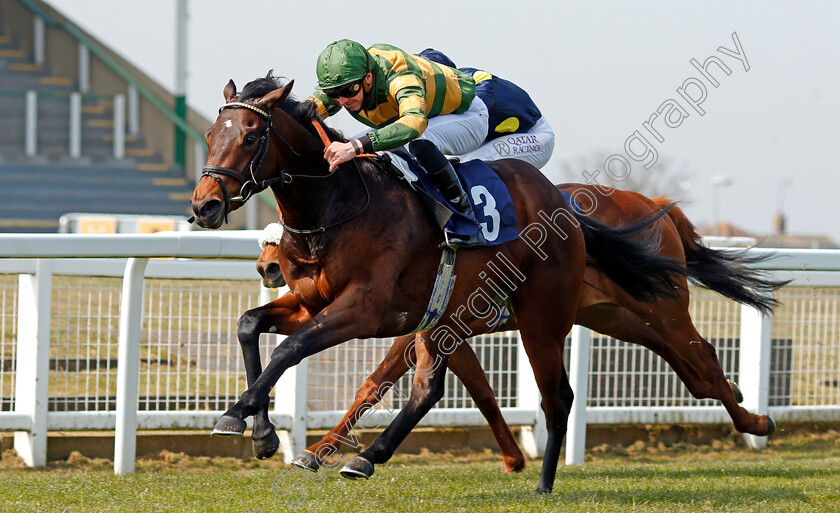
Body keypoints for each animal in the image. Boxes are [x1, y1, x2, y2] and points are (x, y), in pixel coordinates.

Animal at [189, 73, 728, 492]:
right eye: (213, 133)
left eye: (251, 137)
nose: (204, 205)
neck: (337, 206)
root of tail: (566, 209)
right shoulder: (314, 301)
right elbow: (250, 325)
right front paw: (261, 432)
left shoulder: (365, 309)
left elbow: (293, 349)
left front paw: (241, 414)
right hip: (491, 314)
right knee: (431, 390)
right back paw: (367, 458)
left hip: (549, 318)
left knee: (567, 394)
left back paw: (545, 483)